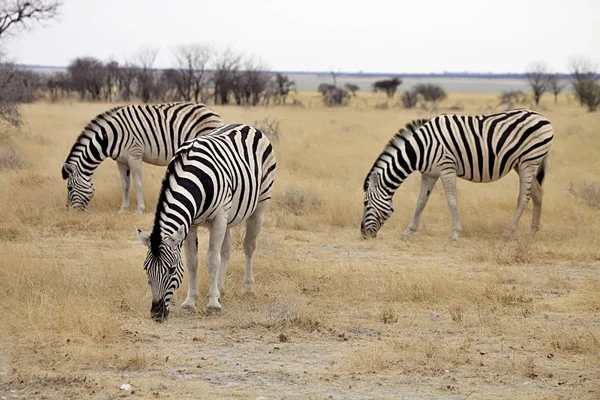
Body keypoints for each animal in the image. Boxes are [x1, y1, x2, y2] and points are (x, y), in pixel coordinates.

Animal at [61, 101, 225, 214]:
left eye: (69, 188)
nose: (69, 211)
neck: (109, 137)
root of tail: (212, 111)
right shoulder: (121, 160)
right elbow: (125, 184)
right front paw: (123, 210)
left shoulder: (135, 155)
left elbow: (138, 183)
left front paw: (140, 209)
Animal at [135, 123, 276, 324]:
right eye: (146, 269)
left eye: (171, 270)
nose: (156, 314)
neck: (192, 178)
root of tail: (247, 126)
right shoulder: (191, 223)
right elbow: (192, 261)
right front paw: (190, 302)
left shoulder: (218, 218)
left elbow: (212, 260)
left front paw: (213, 304)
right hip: (228, 217)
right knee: (226, 251)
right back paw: (220, 288)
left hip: (260, 205)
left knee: (248, 246)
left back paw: (248, 287)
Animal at [360, 108, 552, 241]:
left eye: (366, 203)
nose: (363, 234)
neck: (420, 149)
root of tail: (543, 117)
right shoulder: (429, 174)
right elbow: (421, 202)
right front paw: (408, 232)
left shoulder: (447, 169)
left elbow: (452, 201)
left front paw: (454, 233)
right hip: (521, 163)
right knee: (538, 193)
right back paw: (532, 232)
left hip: (528, 161)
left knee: (524, 197)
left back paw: (507, 233)